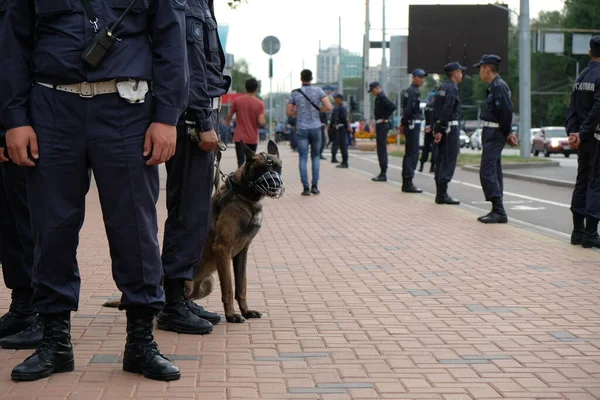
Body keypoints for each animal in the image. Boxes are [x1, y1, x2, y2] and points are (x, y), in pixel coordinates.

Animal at [103, 139, 286, 324]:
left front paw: (246, 311)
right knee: (164, 304)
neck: (243, 195)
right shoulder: (223, 249)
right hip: (187, 283)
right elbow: (228, 288)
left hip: (208, 283)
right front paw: (232, 315)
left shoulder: (242, 252)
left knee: (188, 298)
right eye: (261, 169)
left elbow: (242, 286)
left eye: (278, 168)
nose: (276, 184)